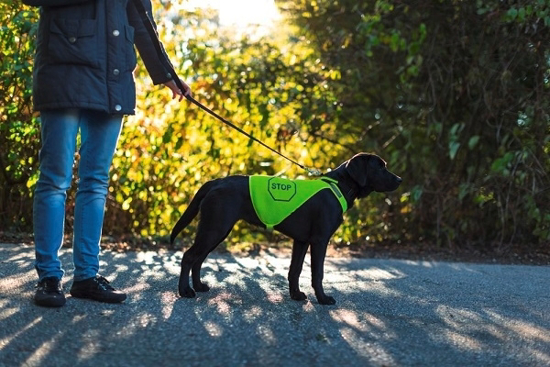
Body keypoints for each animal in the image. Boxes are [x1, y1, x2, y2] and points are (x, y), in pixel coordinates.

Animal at [170, 152, 404, 304]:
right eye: (380, 167)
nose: (400, 179)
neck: (338, 186)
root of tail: (215, 181)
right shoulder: (319, 240)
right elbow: (317, 273)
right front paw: (322, 299)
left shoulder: (301, 241)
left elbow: (295, 270)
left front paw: (296, 295)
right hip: (215, 228)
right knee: (189, 257)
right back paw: (185, 291)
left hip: (215, 230)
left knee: (198, 259)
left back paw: (199, 286)